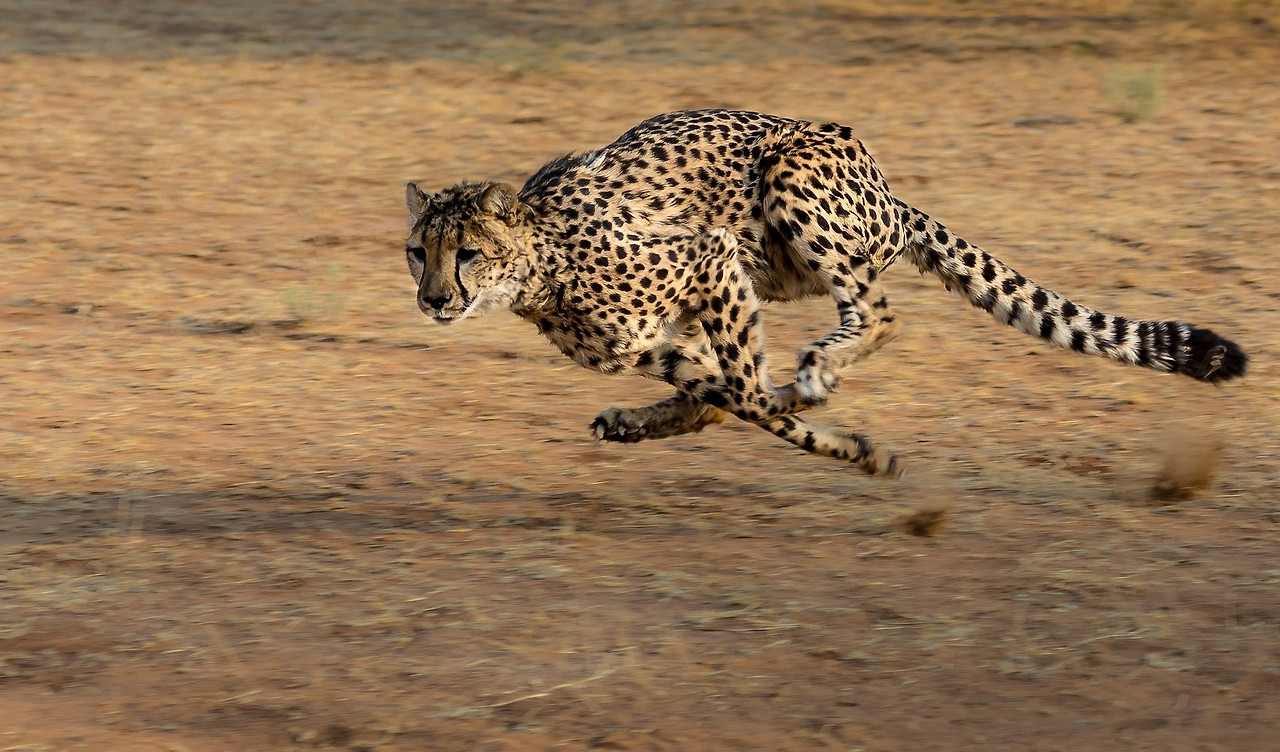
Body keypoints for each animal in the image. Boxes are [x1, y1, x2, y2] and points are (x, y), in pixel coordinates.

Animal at [404, 109, 1246, 476]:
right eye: (419, 253)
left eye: (467, 253)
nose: (434, 300)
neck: (539, 265)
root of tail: (888, 190)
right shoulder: (658, 340)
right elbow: (725, 397)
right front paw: (845, 441)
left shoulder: (709, 258)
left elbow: (748, 395)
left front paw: (845, 438)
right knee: (727, 390)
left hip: (790, 184)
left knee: (877, 311)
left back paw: (817, 370)